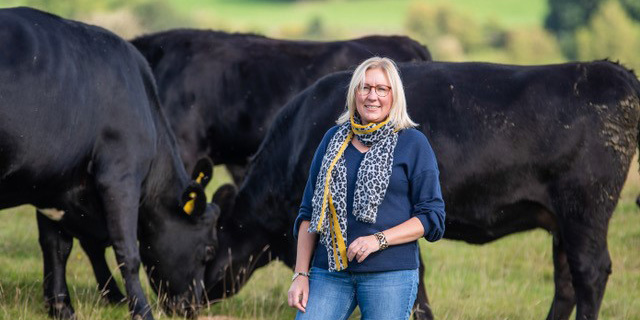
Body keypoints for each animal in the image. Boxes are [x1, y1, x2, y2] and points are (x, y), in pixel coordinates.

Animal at [0, 7, 219, 320]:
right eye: (209, 250)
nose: (193, 307)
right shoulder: (120, 176)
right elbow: (128, 253)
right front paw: (142, 311)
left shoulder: (49, 184)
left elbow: (56, 247)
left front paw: (62, 307)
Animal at [208, 60, 640, 320]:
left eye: (207, 247)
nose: (187, 300)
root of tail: (613, 71)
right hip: (563, 222)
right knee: (565, 278)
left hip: (585, 208)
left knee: (589, 272)